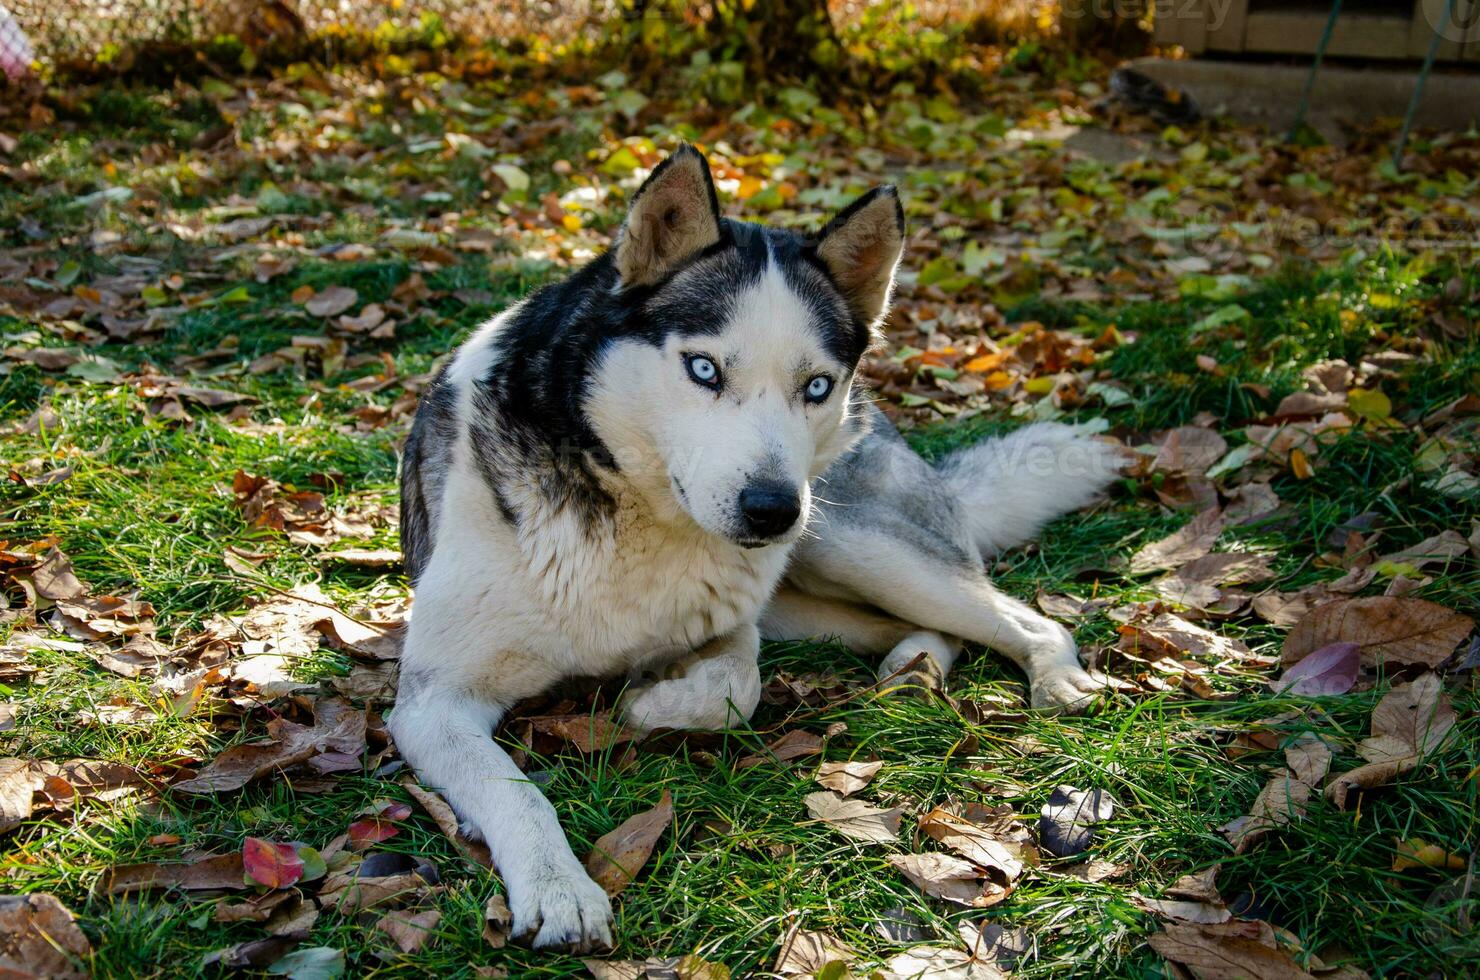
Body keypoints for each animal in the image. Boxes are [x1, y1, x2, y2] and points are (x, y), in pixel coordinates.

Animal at [390, 144, 1118, 953]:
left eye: (816, 385)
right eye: (704, 369)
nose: (771, 510)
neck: (628, 515)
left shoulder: (734, 627)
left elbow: (738, 687)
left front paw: (649, 703)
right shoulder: (433, 702)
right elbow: (514, 790)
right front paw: (560, 890)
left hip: (845, 540)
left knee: (1026, 618)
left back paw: (1057, 677)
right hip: (817, 584)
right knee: (913, 627)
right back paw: (913, 665)